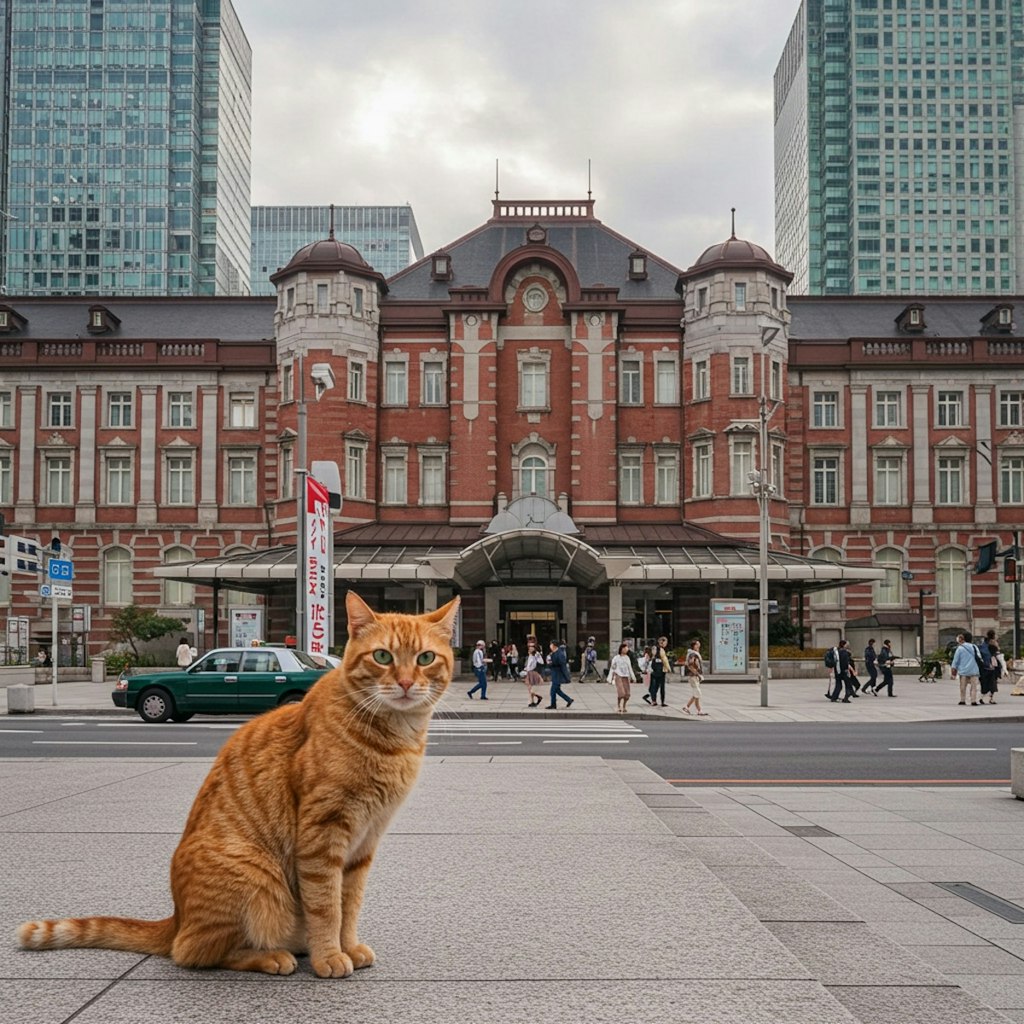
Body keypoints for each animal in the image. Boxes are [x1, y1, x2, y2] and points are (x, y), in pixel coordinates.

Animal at [18, 593, 458, 974]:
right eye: (383, 656)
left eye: (425, 658)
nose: (406, 683)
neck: (394, 737)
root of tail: (176, 918)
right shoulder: (323, 834)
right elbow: (326, 905)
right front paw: (330, 956)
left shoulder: (365, 842)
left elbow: (349, 904)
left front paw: (347, 946)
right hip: (255, 874)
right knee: (194, 952)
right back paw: (271, 956)